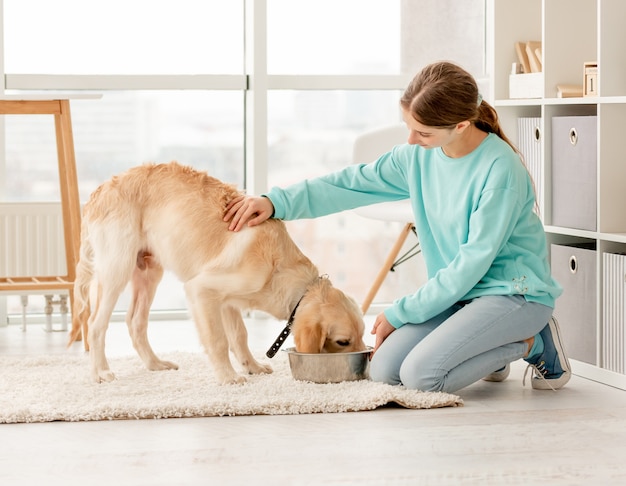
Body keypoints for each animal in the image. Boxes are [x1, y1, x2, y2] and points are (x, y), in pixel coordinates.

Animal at [68, 161, 366, 382]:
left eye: (363, 335)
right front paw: (228, 377)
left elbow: (240, 335)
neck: (279, 268)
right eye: (342, 342)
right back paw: (102, 372)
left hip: (149, 271)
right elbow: (219, 340)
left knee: (135, 322)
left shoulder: (227, 301)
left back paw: (155, 364)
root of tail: (101, 189)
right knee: (95, 324)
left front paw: (252, 366)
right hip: (117, 268)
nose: (363, 367)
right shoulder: (202, 290)